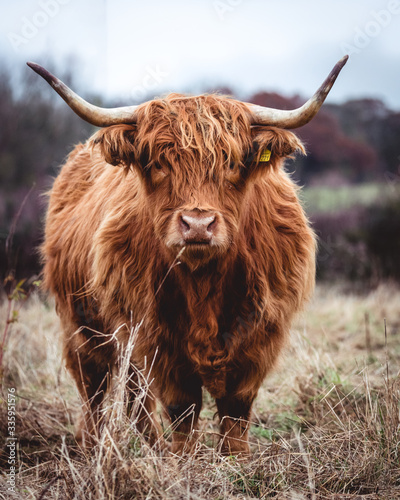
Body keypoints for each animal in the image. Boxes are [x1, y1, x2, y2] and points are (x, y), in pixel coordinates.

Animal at [28, 56, 346, 456]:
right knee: (94, 387)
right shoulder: (157, 338)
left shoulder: (259, 337)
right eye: (159, 164)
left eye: (231, 164)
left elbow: (236, 409)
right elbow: (182, 409)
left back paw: (147, 444)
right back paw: (92, 445)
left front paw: (236, 461)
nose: (197, 225)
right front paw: (181, 460)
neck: (204, 283)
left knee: (133, 393)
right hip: (81, 323)